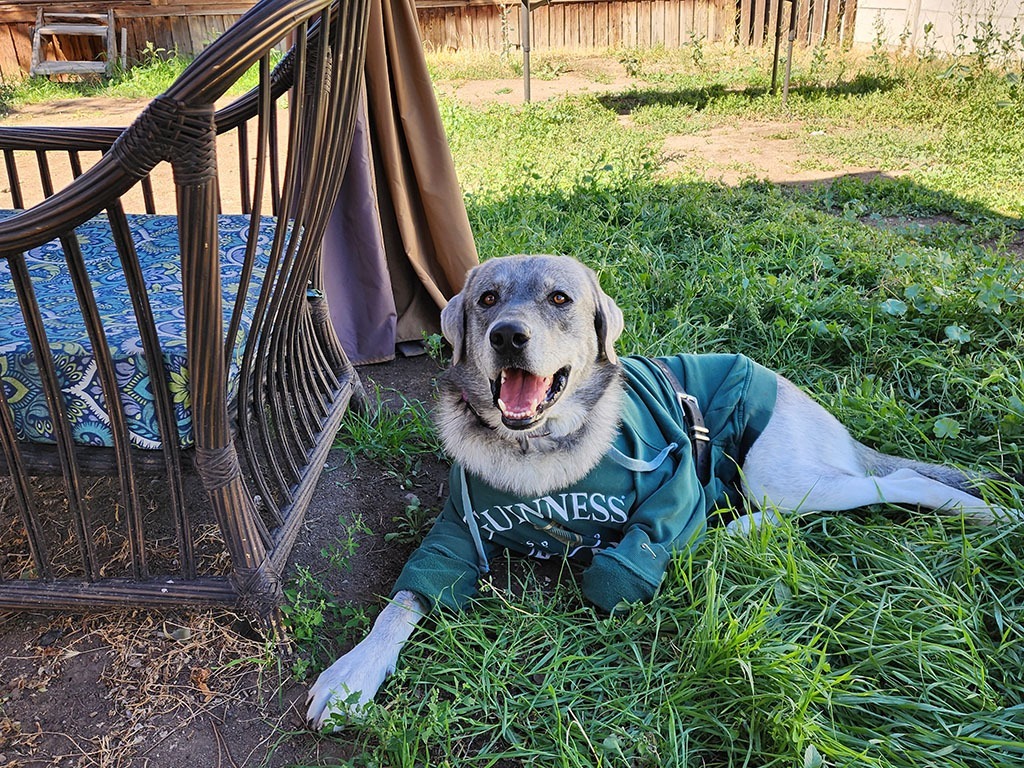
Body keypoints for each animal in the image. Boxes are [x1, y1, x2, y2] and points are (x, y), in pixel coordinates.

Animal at [303, 253, 1007, 733]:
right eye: (488, 299)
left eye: (559, 298)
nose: (507, 336)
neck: (537, 453)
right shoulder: (454, 532)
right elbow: (400, 604)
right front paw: (351, 675)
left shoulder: (674, 487)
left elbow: (626, 562)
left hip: (782, 477)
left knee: (887, 483)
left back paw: (984, 510)